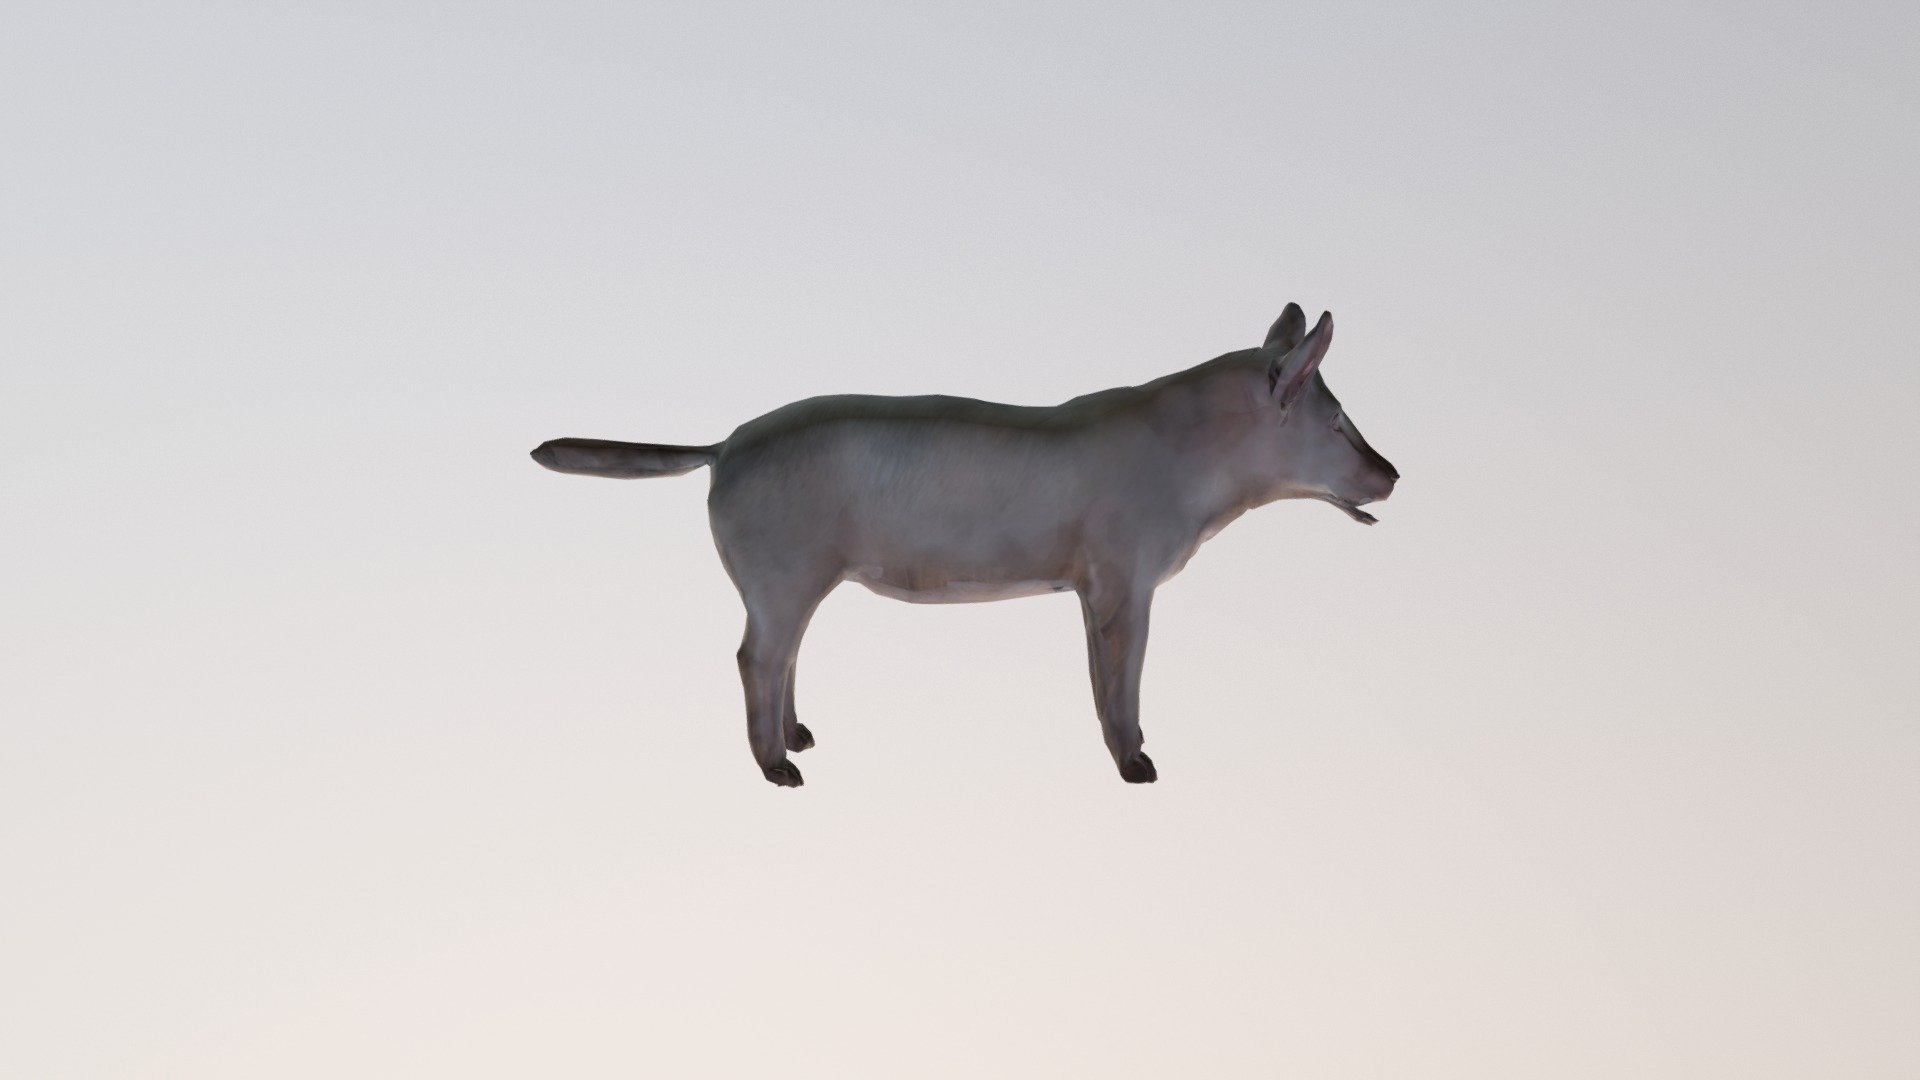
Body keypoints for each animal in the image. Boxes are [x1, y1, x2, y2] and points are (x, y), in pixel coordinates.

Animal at [532, 304, 1397, 787]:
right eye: (1337, 420)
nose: (1392, 473)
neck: (1194, 462)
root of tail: (721, 447)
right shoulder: (1123, 577)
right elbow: (1121, 676)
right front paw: (1138, 767)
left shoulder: (1090, 582)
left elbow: (1100, 674)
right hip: (778, 568)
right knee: (755, 657)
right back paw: (781, 768)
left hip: (798, 575)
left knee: (783, 653)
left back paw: (800, 736)